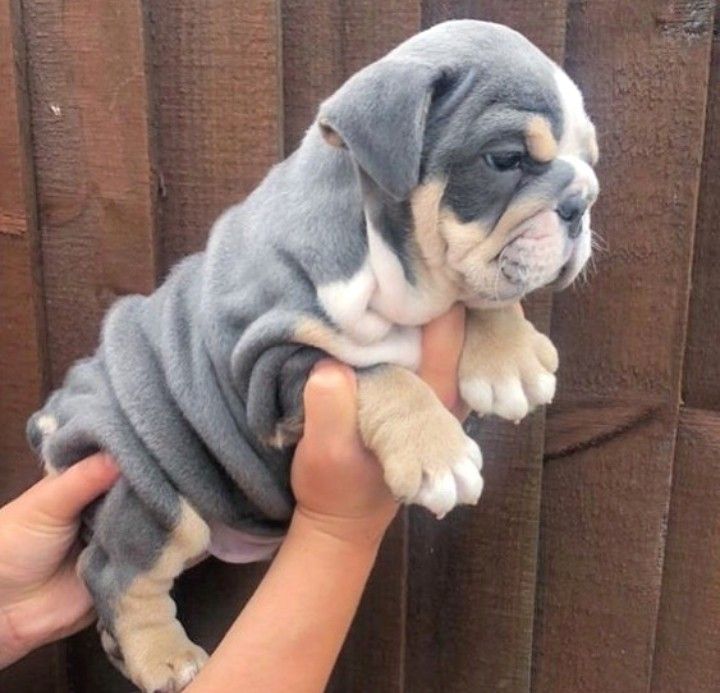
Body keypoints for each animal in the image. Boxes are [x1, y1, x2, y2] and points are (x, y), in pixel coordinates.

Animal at [25, 20, 600, 692]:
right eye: (506, 159)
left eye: (589, 163)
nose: (581, 202)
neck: (384, 261)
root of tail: (52, 417)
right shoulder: (267, 365)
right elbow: (369, 369)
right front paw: (436, 450)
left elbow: (483, 292)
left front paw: (509, 358)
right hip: (150, 487)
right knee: (114, 570)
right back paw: (162, 655)